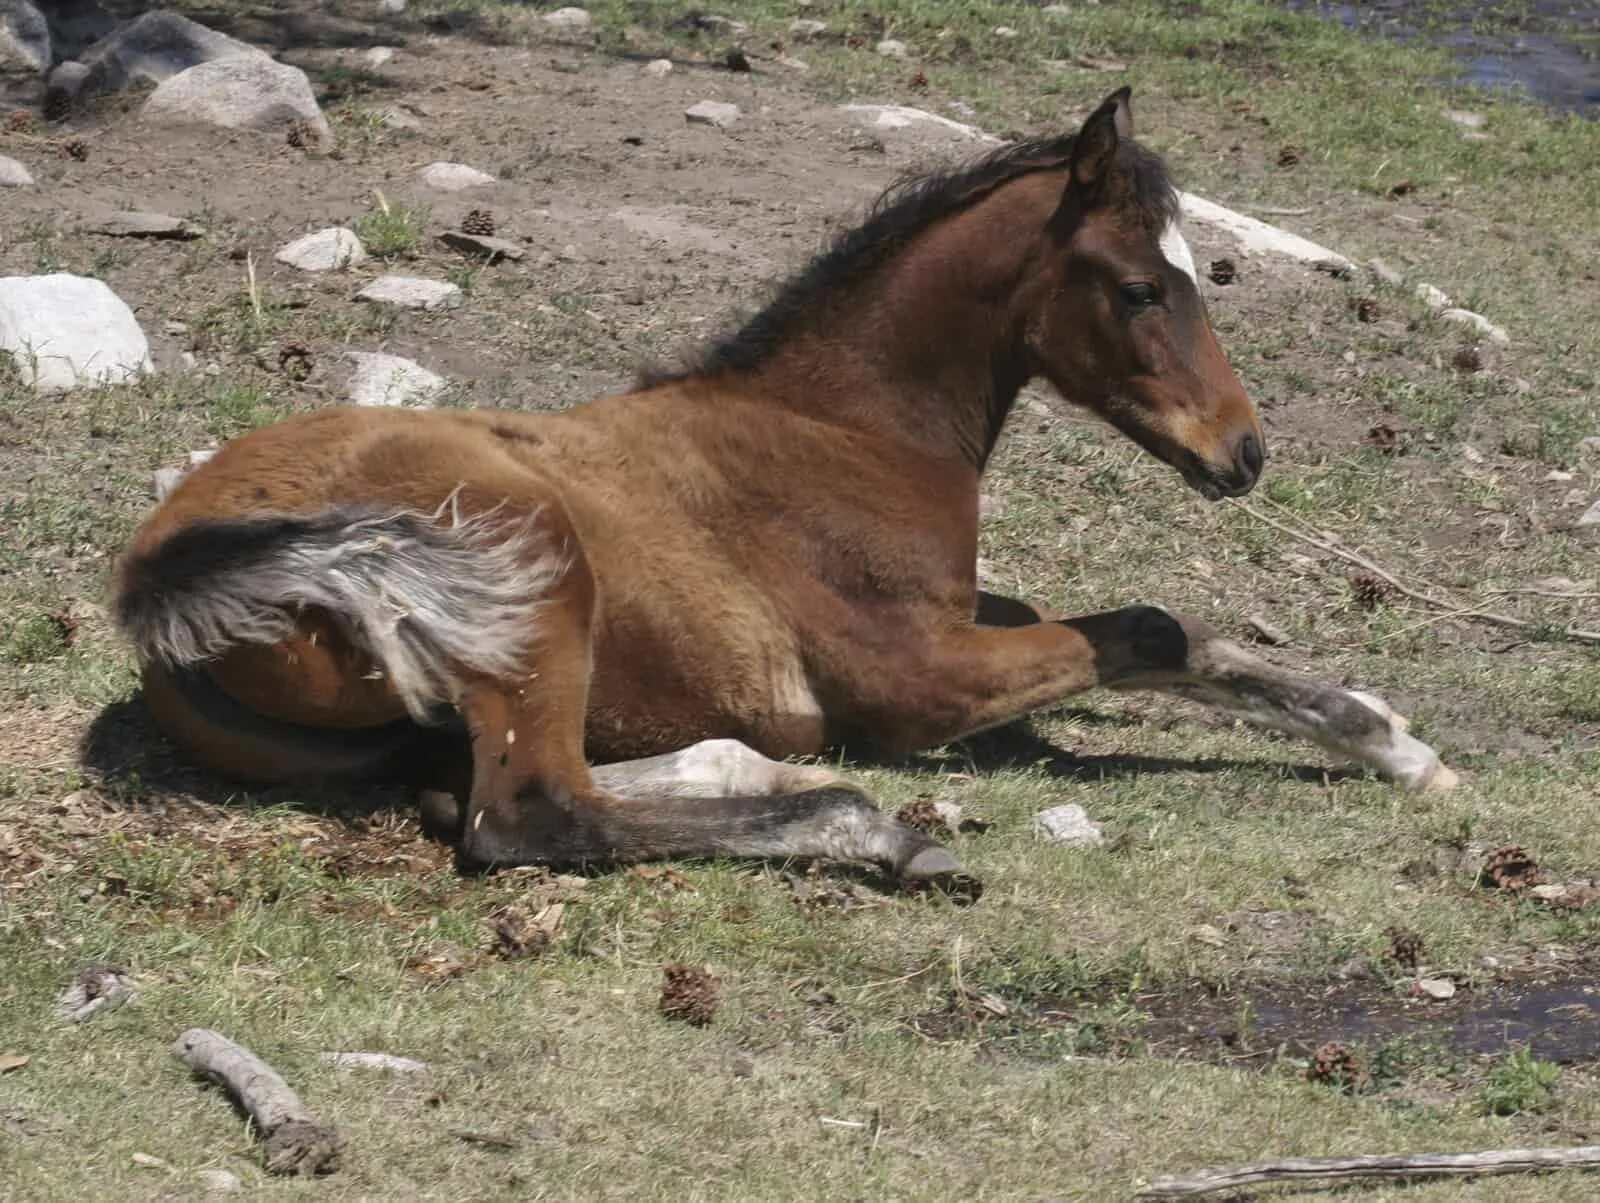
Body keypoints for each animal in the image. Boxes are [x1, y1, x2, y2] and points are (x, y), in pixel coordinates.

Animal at [116, 89, 1465, 895]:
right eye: (1141, 288)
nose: (1244, 453)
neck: (844, 429)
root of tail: (163, 573)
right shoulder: (915, 680)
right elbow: (1140, 626)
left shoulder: (964, 619)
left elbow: (1172, 633)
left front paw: (1387, 740)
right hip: (531, 568)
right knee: (524, 816)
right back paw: (871, 831)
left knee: (486, 781)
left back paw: (750, 769)